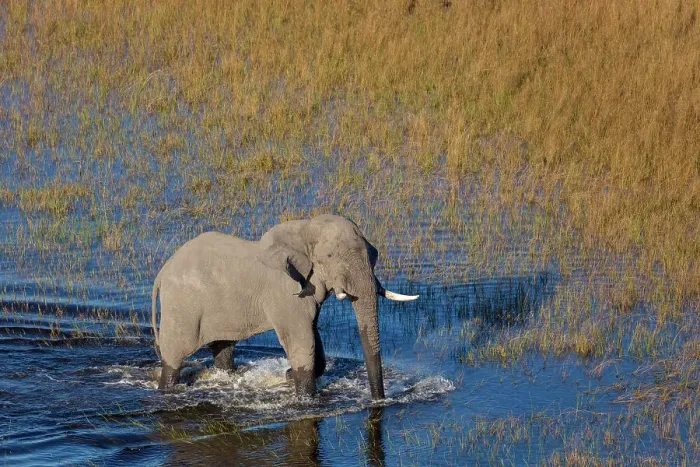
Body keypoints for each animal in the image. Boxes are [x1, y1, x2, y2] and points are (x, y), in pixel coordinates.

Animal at [150, 214, 418, 400]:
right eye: (330, 257)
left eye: (374, 255)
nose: (378, 402)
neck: (305, 227)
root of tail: (162, 273)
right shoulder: (286, 293)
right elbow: (302, 339)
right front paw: (305, 396)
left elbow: (314, 335)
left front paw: (288, 376)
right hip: (181, 306)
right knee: (174, 356)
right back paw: (167, 388)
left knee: (223, 347)